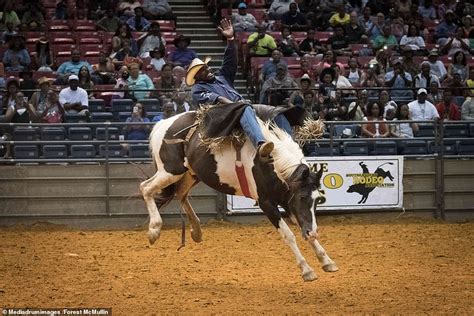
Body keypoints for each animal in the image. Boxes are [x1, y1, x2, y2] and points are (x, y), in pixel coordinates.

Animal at [139, 110, 338, 282]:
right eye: (302, 197)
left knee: (180, 193)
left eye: (317, 200)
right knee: (146, 188)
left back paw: (196, 230)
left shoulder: (287, 201)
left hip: (190, 174)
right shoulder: (266, 202)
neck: (272, 163)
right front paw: (306, 270)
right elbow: (288, 235)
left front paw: (326, 260)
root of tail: (163, 124)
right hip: (171, 171)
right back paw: (154, 230)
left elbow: (301, 224)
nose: (312, 232)